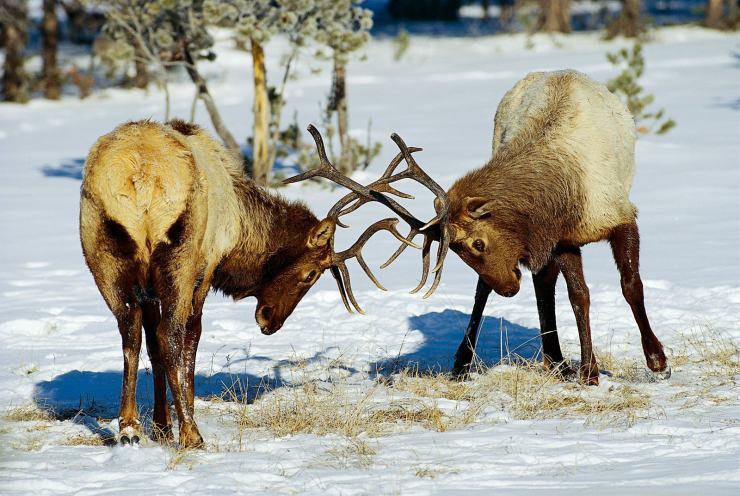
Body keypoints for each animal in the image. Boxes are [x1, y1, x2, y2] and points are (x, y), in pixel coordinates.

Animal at [79, 118, 446, 448]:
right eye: (311, 273)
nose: (271, 320)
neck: (241, 227)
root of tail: (140, 177)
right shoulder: (206, 267)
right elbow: (189, 339)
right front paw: (182, 421)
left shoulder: (152, 288)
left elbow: (152, 345)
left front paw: (161, 427)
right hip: (179, 256)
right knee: (171, 334)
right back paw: (191, 435)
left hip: (103, 255)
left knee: (130, 333)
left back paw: (129, 428)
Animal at [376, 70, 672, 386]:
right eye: (455, 251)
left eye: (478, 243)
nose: (507, 289)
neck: (561, 196)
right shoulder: (561, 238)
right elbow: (578, 296)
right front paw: (589, 371)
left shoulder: (617, 217)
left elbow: (630, 286)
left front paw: (657, 361)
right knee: (505, 288)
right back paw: (481, 361)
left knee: (539, 283)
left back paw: (554, 361)